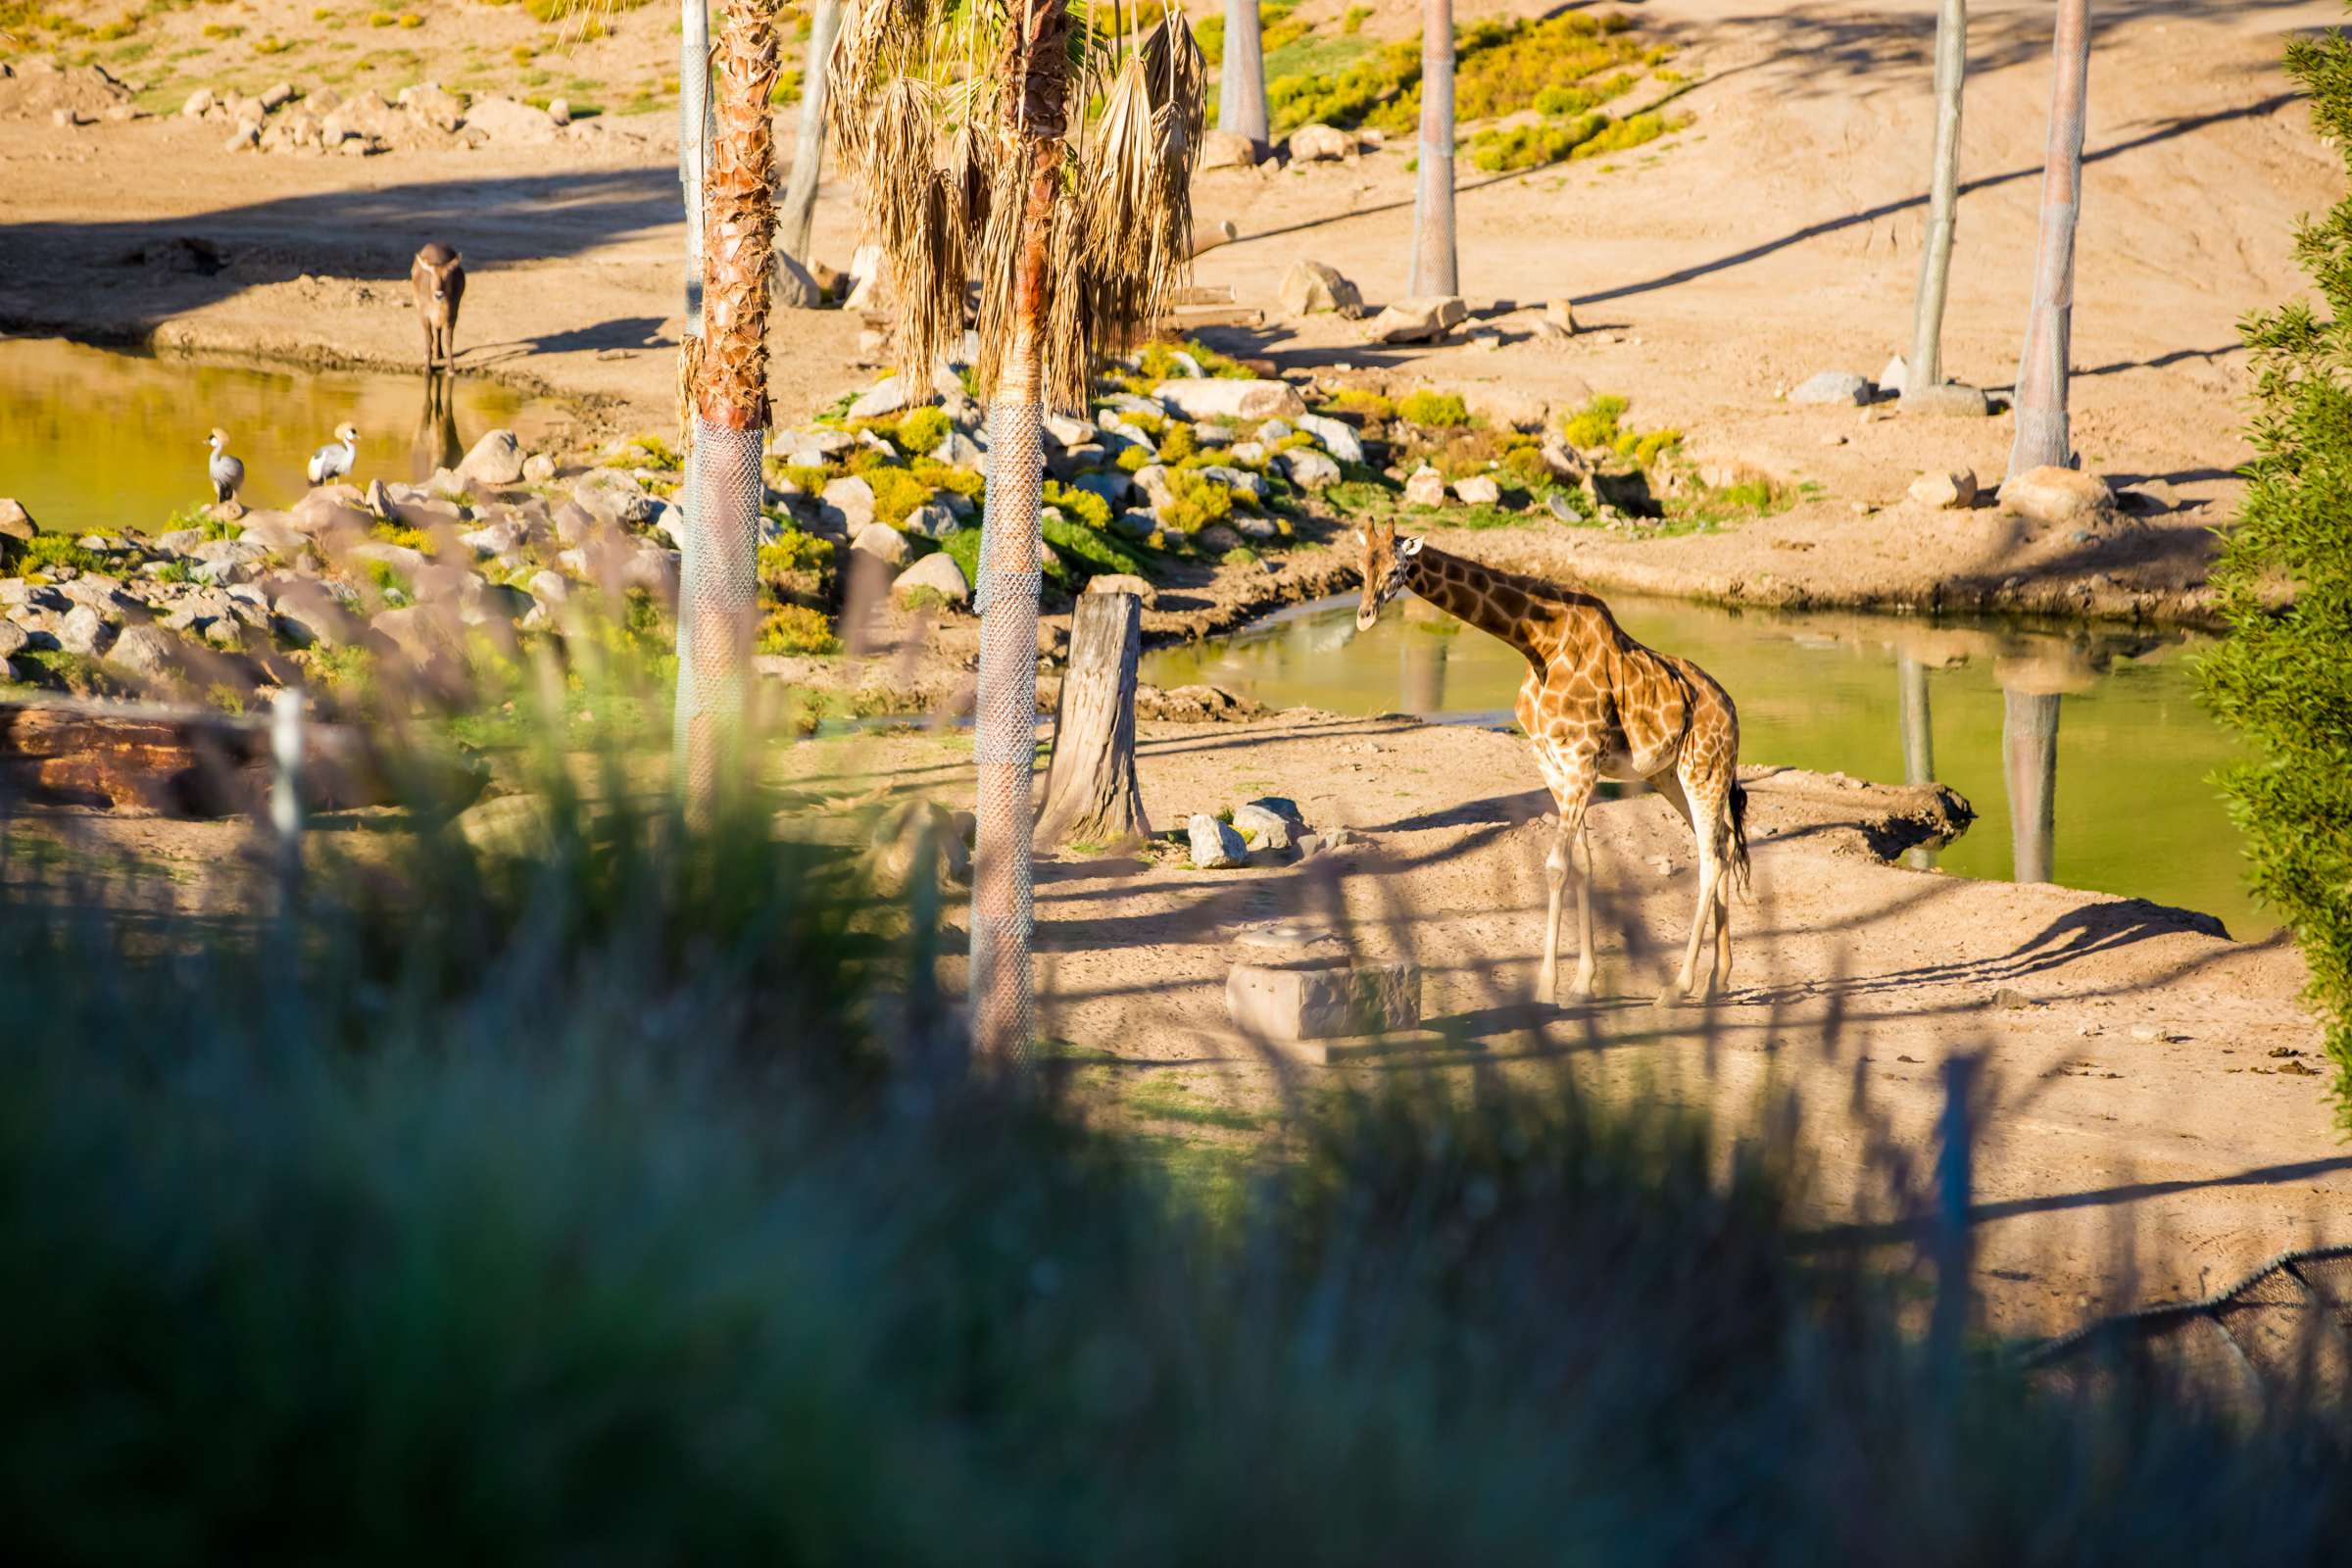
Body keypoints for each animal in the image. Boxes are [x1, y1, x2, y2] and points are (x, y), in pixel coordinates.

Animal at [1354, 521, 1759, 1001]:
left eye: (1396, 567)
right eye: (1360, 566)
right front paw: (1582, 982)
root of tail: (1732, 711)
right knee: (1724, 844)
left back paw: (1678, 987)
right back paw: (1718, 978)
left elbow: (1555, 866)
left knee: (1711, 857)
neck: (1539, 646)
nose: (1364, 615)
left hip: (1705, 770)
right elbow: (1582, 865)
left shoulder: (1583, 759)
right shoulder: (1551, 761)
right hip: (1670, 776)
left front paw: (1546, 987)